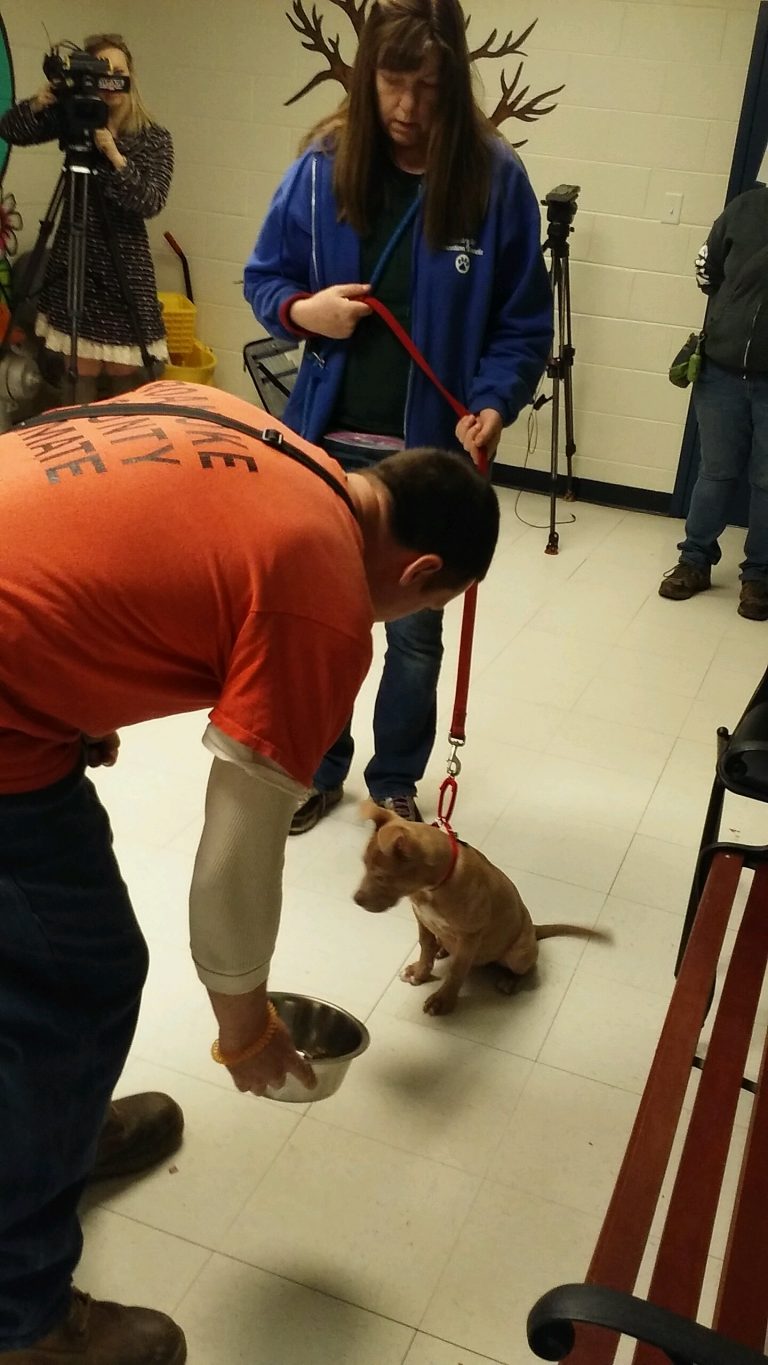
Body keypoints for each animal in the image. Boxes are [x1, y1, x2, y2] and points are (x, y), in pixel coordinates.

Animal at [354, 797, 600, 1015]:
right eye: (363, 865)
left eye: (381, 877)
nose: (356, 900)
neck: (433, 887)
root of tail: (533, 929)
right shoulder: (422, 918)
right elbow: (426, 946)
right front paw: (420, 972)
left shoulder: (470, 936)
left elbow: (457, 970)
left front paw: (443, 1001)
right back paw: (442, 948)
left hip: (518, 955)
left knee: (527, 967)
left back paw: (510, 981)